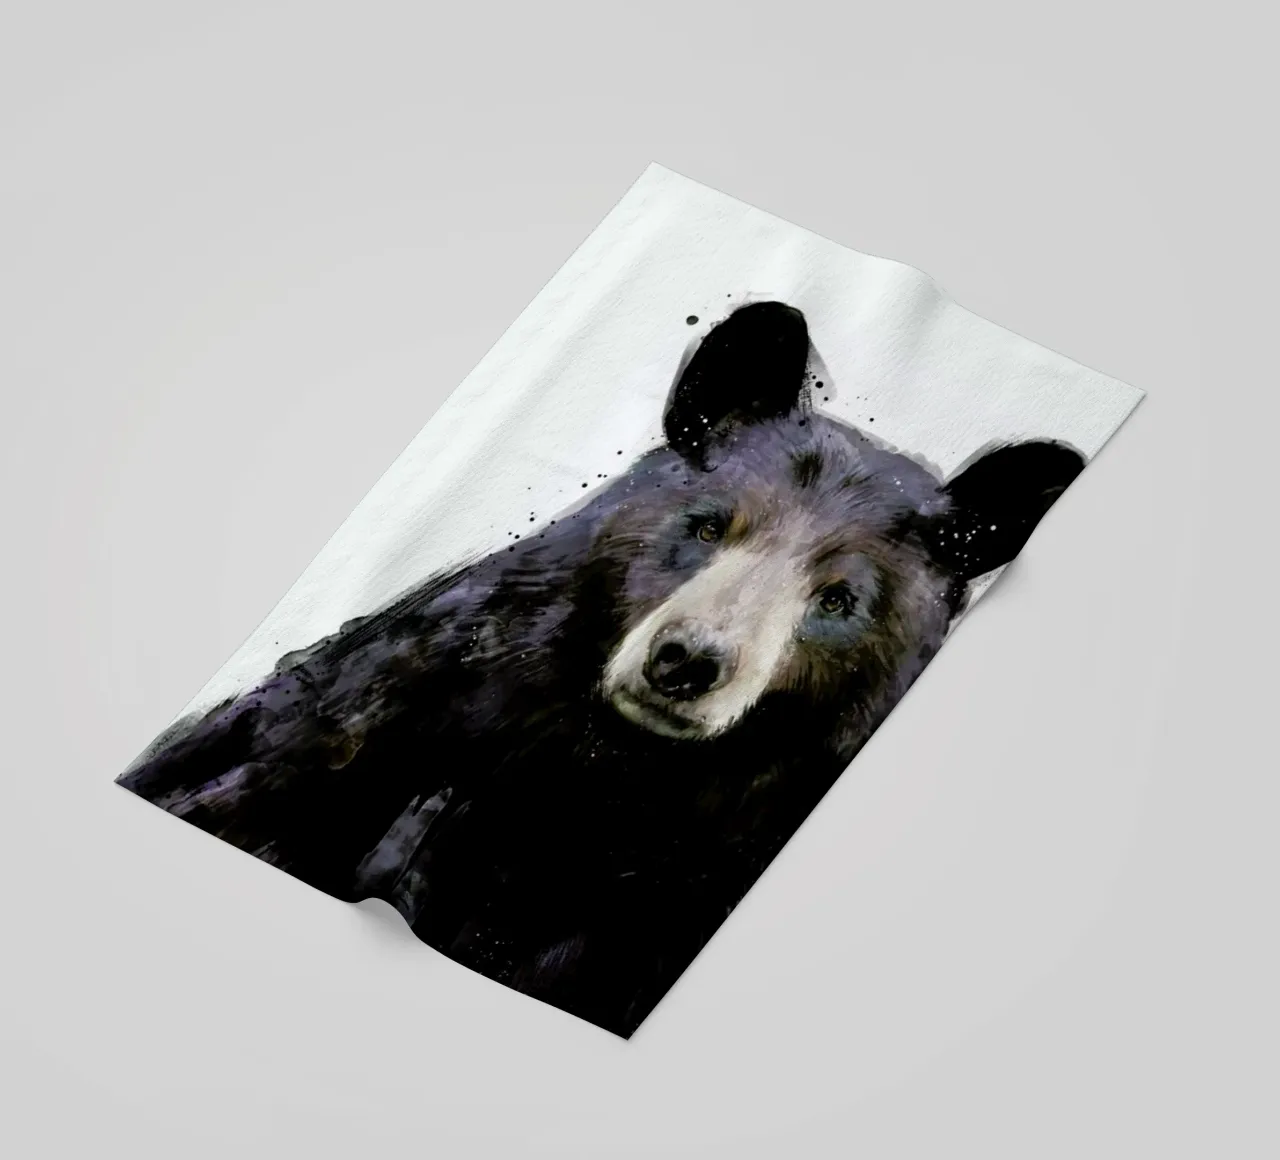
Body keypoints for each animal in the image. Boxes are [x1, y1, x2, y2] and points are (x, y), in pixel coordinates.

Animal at [118, 301, 1085, 1037]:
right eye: (707, 525)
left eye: (840, 599)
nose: (687, 662)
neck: (592, 772)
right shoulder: (373, 723)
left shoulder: (651, 905)